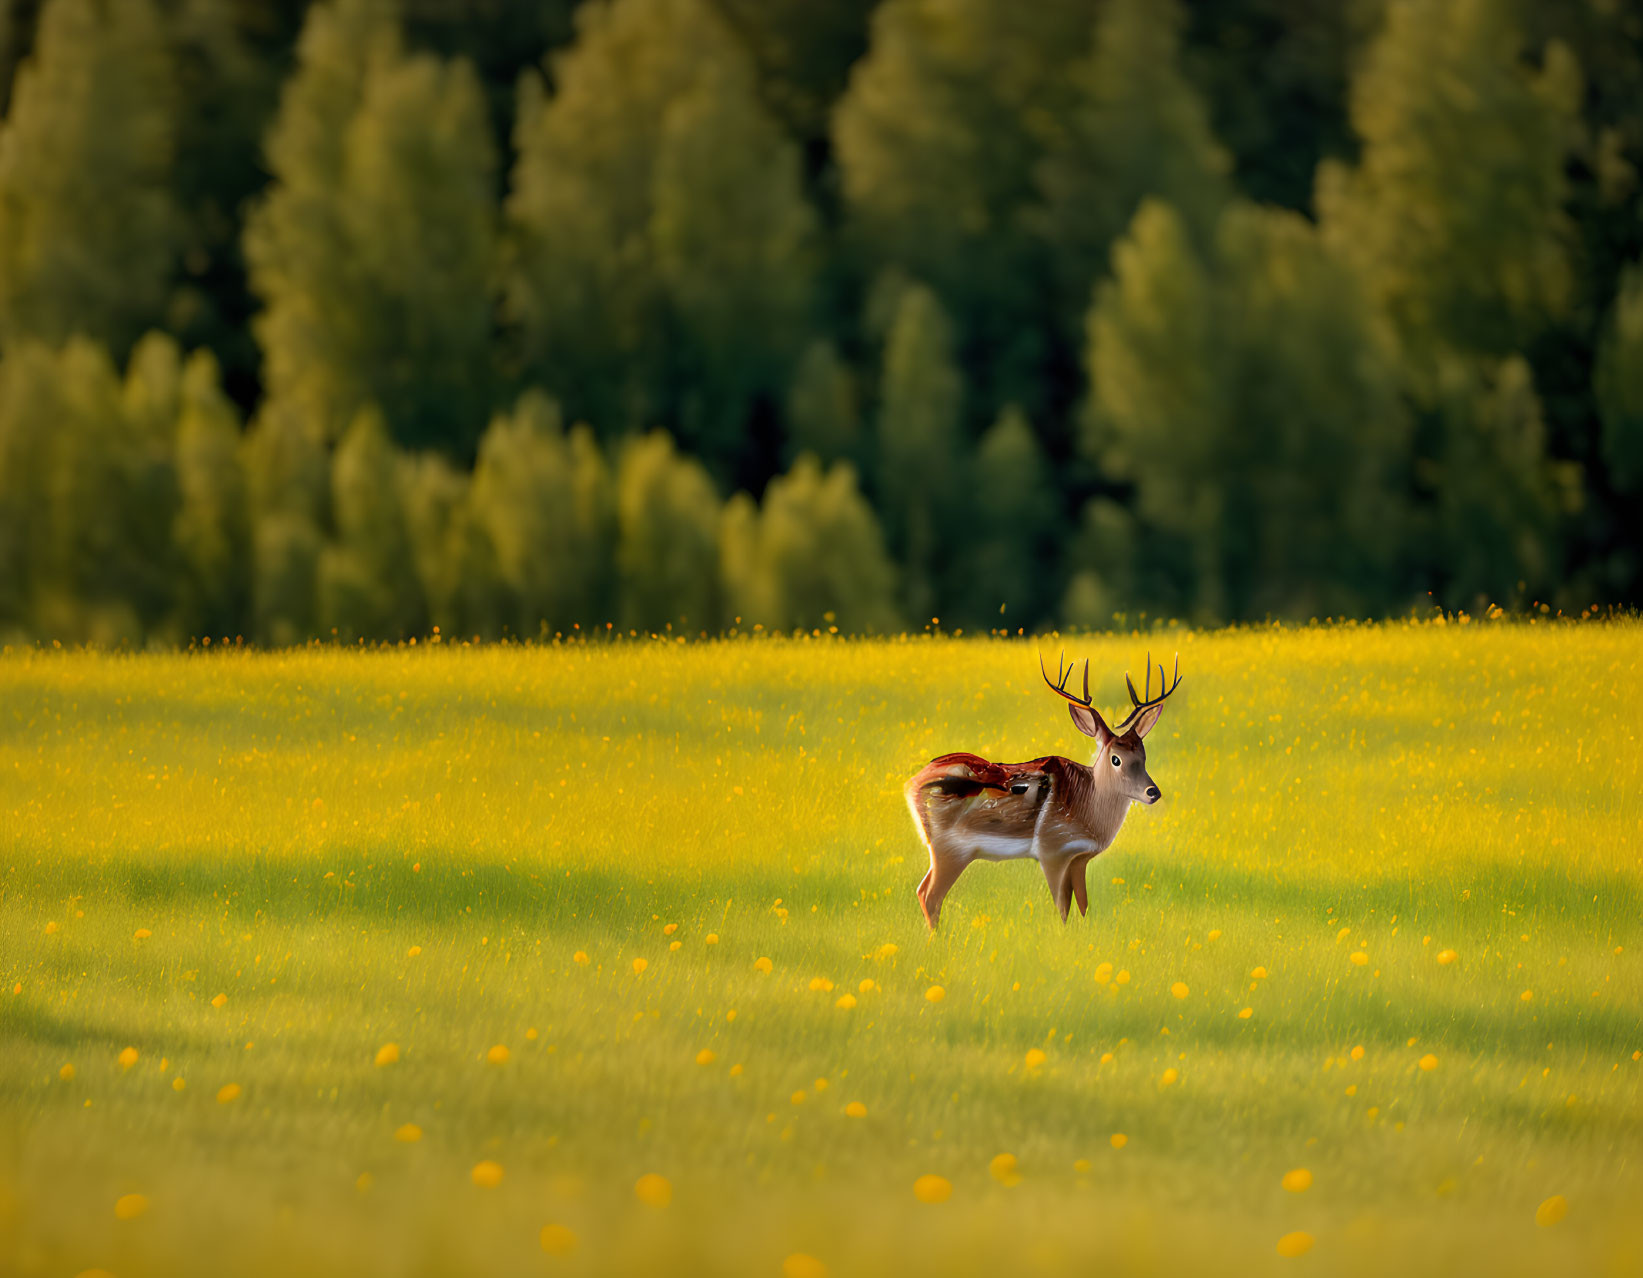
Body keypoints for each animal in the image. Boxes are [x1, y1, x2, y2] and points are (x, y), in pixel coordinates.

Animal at [900, 653, 1182, 933]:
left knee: (922, 890)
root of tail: (912, 783)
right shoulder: (1051, 849)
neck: (1087, 805)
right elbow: (1063, 908)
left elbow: (1083, 906)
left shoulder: (1079, 858)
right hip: (950, 848)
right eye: (1116, 759)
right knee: (931, 896)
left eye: (1143, 756)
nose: (1153, 792)